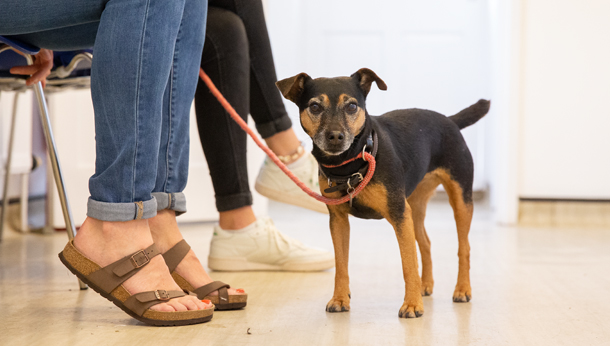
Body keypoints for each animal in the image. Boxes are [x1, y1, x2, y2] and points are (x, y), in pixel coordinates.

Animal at [276, 68, 490, 318]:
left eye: (351, 106)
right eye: (315, 107)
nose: (336, 136)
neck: (351, 163)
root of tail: (450, 120)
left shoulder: (399, 214)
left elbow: (408, 263)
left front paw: (412, 305)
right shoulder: (338, 220)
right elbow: (341, 264)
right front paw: (340, 299)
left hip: (460, 199)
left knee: (464, 247)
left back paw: (462, 289)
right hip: (415, 207)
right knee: (425, 243)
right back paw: (426, 285)